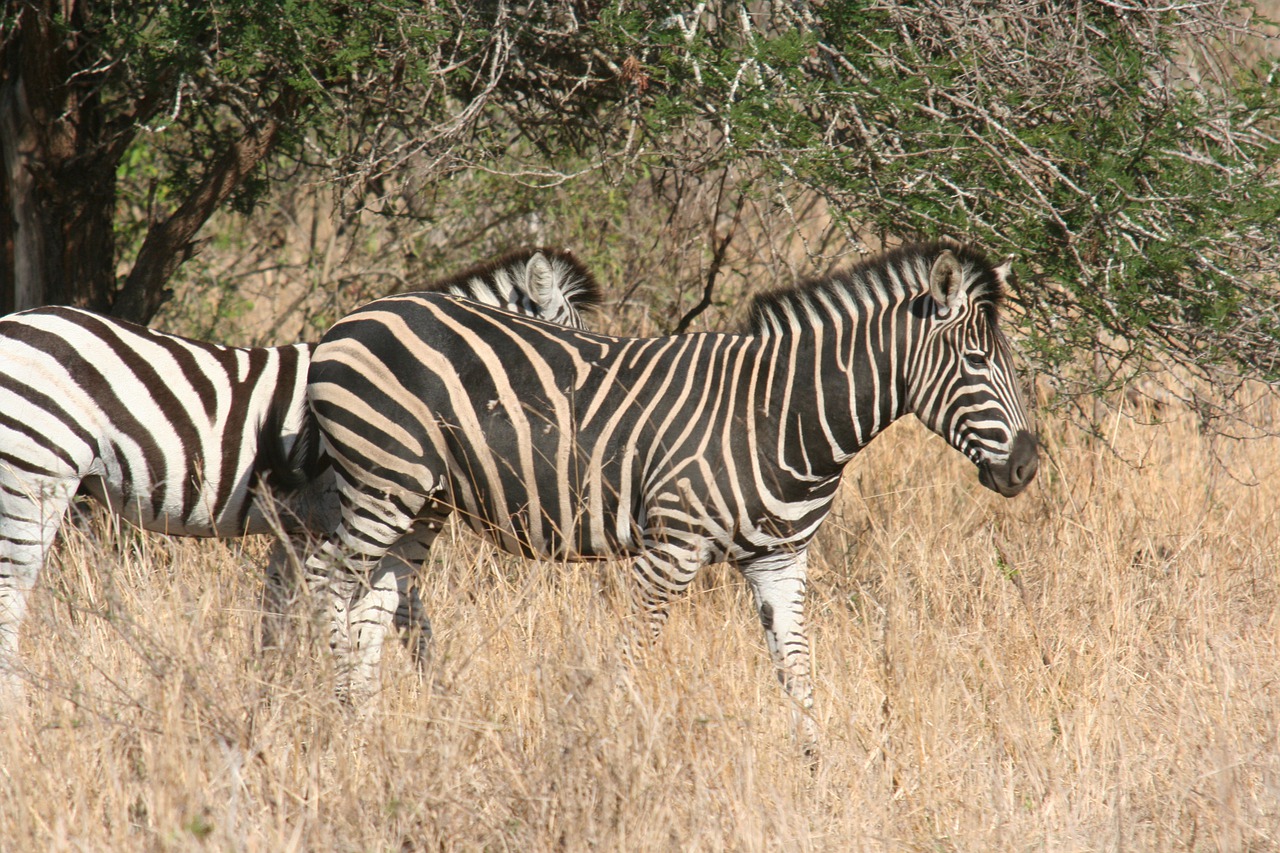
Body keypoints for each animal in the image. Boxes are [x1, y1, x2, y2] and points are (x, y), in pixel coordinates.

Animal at [0, 247, 601, 696]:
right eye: (569, 355)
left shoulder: (296, 528)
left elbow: (281, 625)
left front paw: (270, 703)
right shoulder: (349, 516)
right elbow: (402, 621)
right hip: (36, 474)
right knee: (12, 595)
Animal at [290, 235, 1039, 747]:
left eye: (1007, 359)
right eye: (977, 360)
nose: (1028, 466)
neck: (779, 416)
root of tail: (348, 322)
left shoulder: (780, 558)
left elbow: (796, 669)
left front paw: (816, 769)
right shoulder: (670, 549)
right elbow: (632, 657)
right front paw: (605, 750)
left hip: (422, 502)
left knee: (372, 604)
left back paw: (368, 729)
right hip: (382, 482)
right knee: (327, 578)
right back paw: (335, 715)